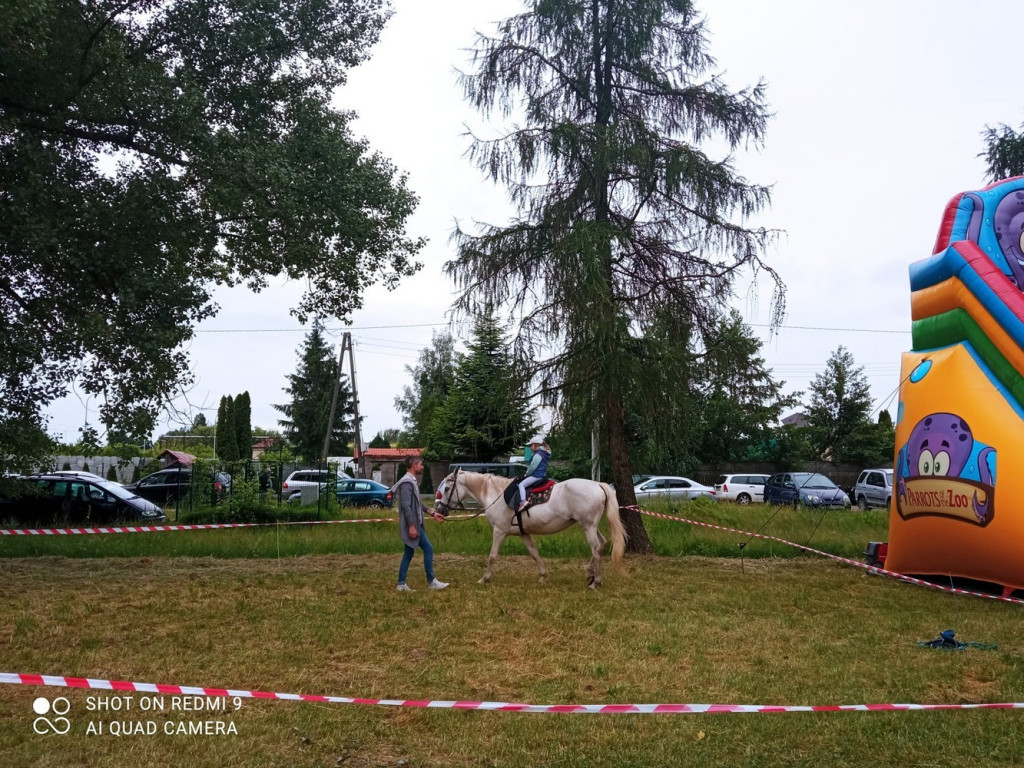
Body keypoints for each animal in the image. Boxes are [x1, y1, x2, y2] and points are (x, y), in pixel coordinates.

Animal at [432, 468, 622, 589]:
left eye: (447, 488)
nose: (439, 510)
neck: (495, 494)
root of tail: (598, 485)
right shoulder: (523, 534)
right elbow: (534, 553)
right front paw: (543, 576)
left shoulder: (499, 531)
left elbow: (492, 556)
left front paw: (484, 579)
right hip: (590, 526)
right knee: (601, 544)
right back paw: (590, 574)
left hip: (588, 526)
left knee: (596, 548)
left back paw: (596, 581)